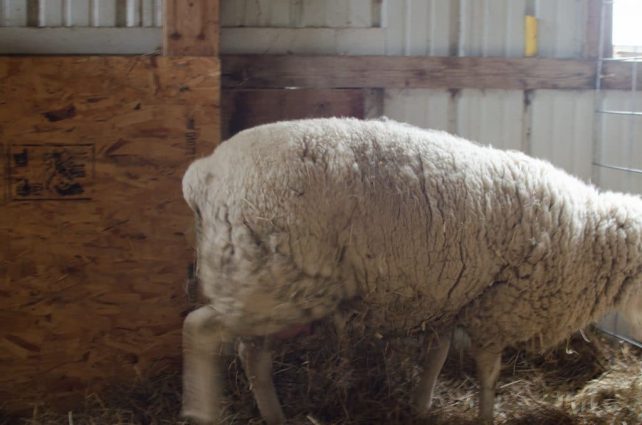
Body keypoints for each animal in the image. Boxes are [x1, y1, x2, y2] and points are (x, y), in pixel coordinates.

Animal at [181, 117, 642, 424]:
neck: (584, 238)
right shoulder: (496, 308)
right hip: (267, 284)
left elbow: (437, 356)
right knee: (199, 329)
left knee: (252, 354)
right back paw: (200, 410)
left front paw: (420, 405)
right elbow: (488, 373)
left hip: (268, 287)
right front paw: (486, 415)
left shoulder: (450, 297)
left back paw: (274, 416)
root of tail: (203, 175)